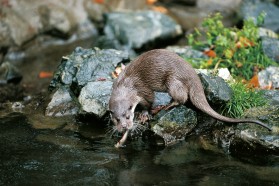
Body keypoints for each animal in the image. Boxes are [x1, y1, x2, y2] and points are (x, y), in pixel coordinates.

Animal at [109, 48, 274, 134]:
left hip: (173, 81)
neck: (125, 84)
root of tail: (192, 74)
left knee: (182, 98)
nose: (124, 127)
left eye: (128, 116)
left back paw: (165, 106)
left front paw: (144, 114)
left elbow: (149, 101)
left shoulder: (143, 90)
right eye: (116, 119)